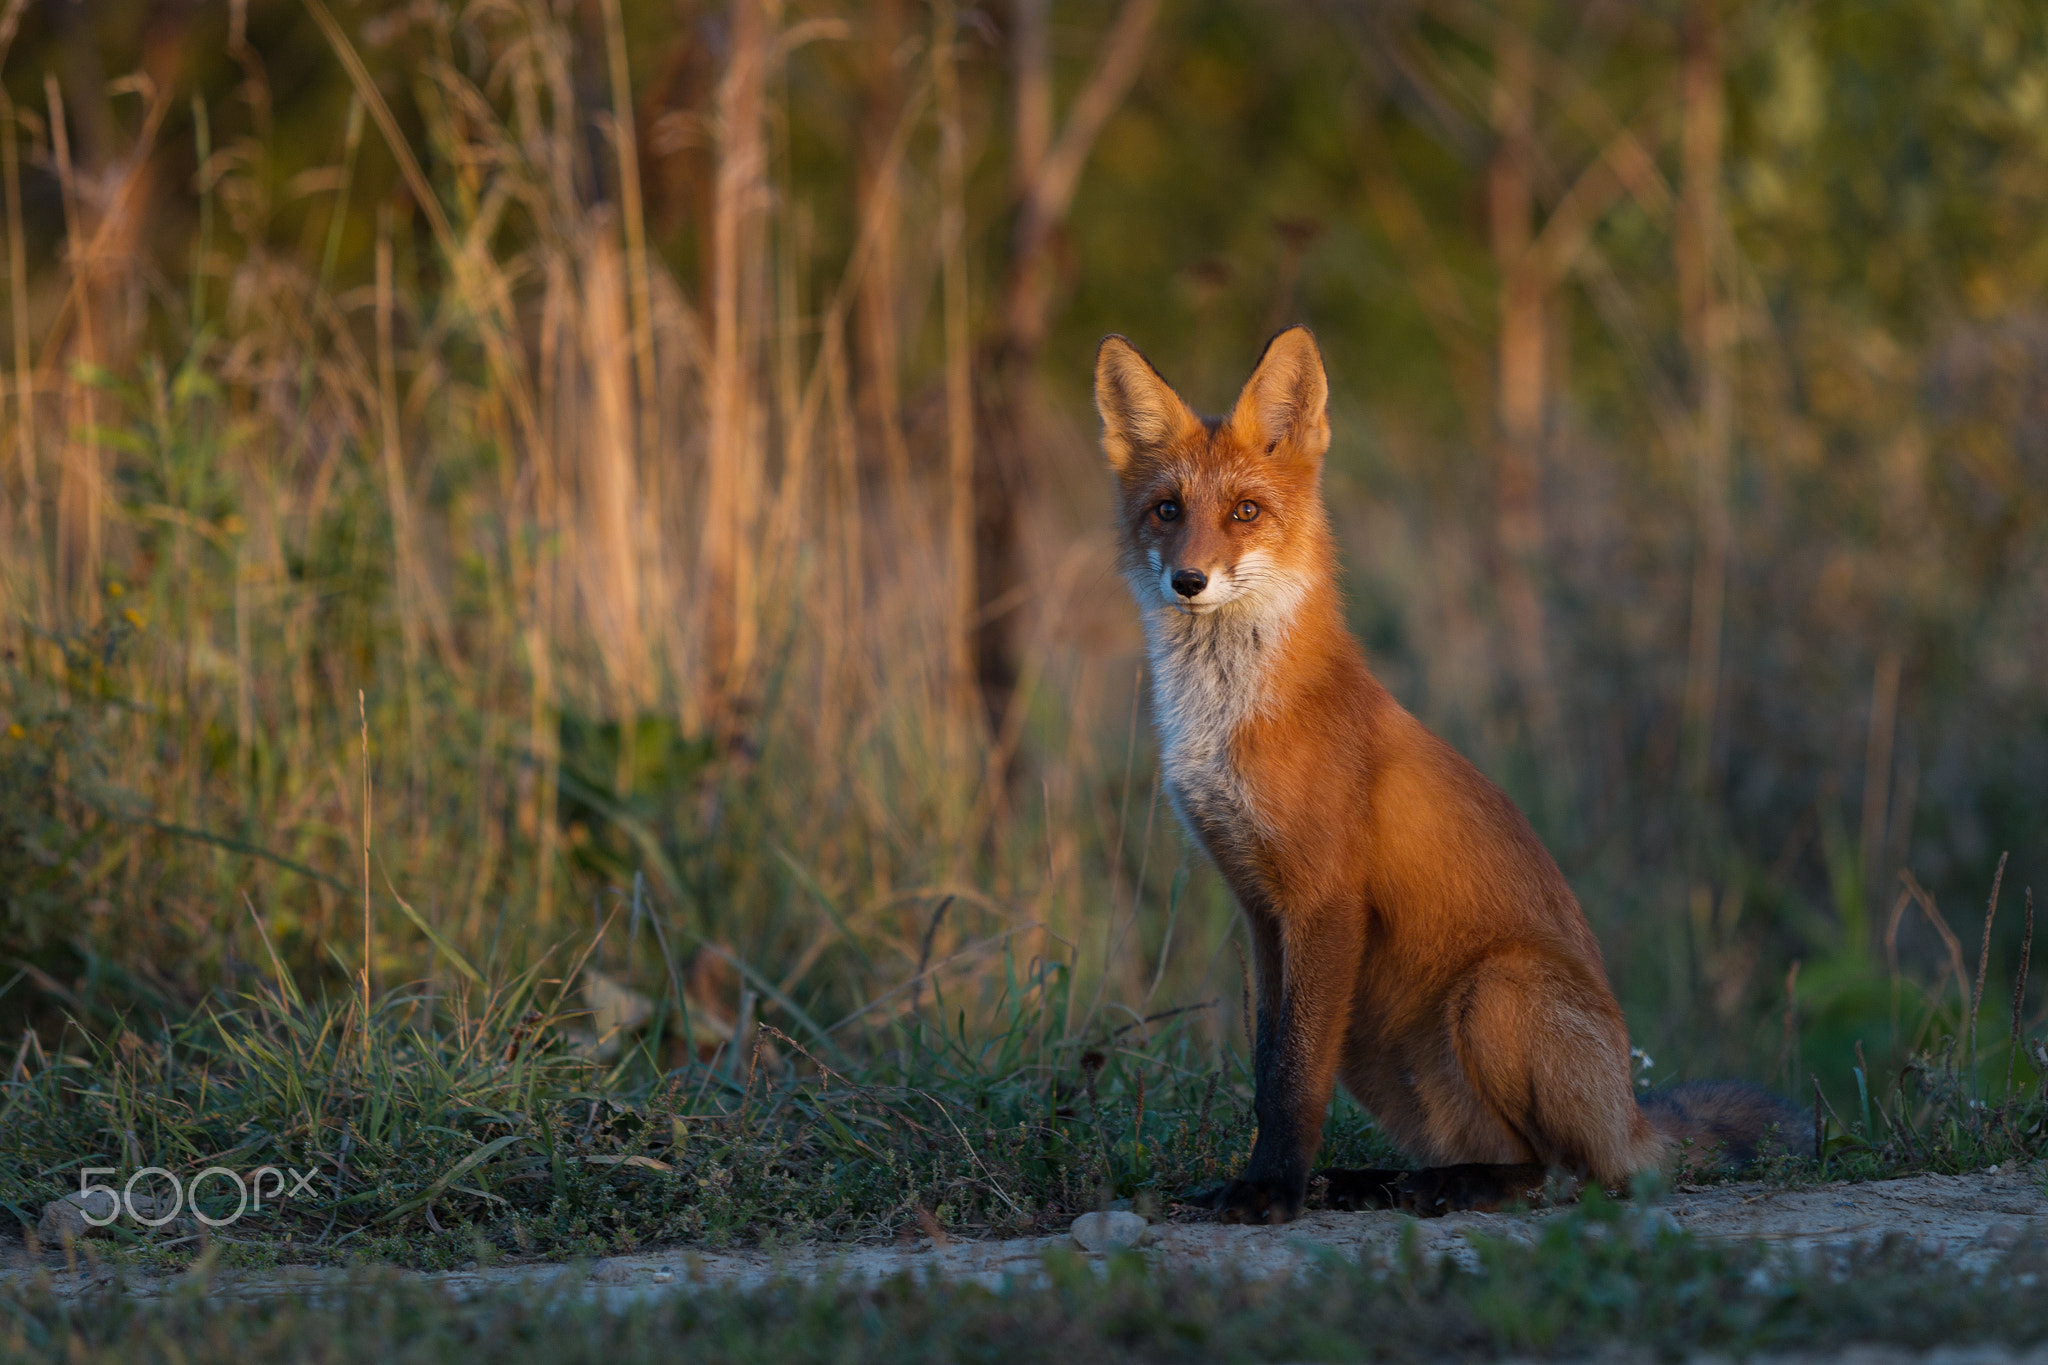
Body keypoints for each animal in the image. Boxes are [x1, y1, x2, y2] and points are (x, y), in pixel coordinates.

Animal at [1094, 326, 1804, 1224]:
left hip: (1491, 993)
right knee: (1500, 1150)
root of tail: (1634, 1115)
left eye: (1244, 512)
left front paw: (1271, 1191)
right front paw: (1276, 1180)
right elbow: (1267, 1066)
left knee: (1571, 1173)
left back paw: (1454, 1186)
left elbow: (1292, 1080)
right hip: (1376, 1039)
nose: (1187, 580)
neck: (1233, 718)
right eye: (1167, 511)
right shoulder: (1260, 909)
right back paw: (1383, 1181)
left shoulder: (1324, 901)